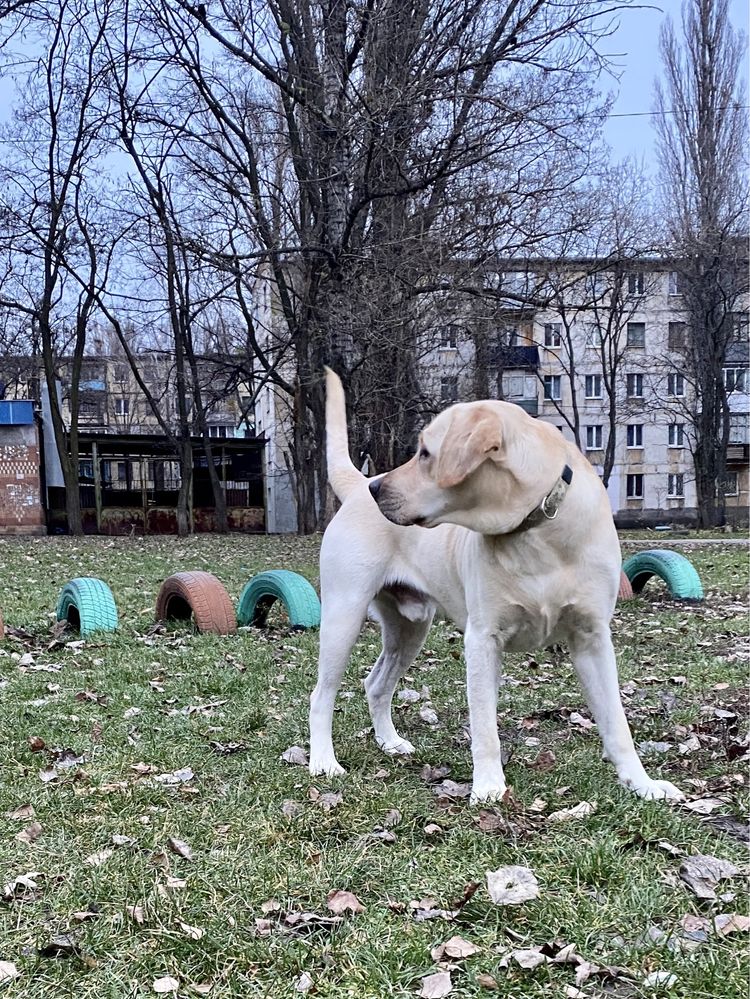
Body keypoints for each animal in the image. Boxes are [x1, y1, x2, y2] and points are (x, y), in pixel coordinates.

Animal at [308, 368, 684, 804]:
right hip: (344, 615)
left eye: (425, 453)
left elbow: (618, 724)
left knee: (376, 685)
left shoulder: (592, 639)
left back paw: (390, 742)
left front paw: (642, 784)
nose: (377, 490)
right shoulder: (483, 639)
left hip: (410, 628)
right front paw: (489, 787)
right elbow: (485, 727)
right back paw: (323, 762)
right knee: (322, 695)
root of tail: (356, 484)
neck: (537, 533)